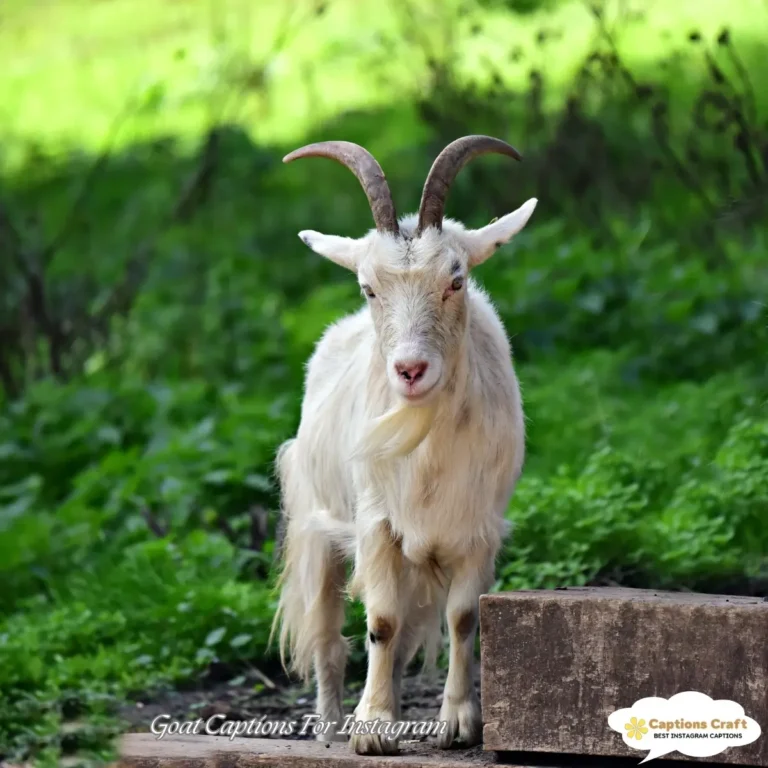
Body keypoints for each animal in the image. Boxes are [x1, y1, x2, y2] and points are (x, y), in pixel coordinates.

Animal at [271, 135, 537, 756]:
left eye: (456, 279)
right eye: (369, 287)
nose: (411, 370)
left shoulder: (479, 527)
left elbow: (463, 618)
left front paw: (459, 722)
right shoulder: (376, 523)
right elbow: (382, 622)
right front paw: (371, 730)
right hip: (317, 523)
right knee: (330, 633)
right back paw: (330, 726)